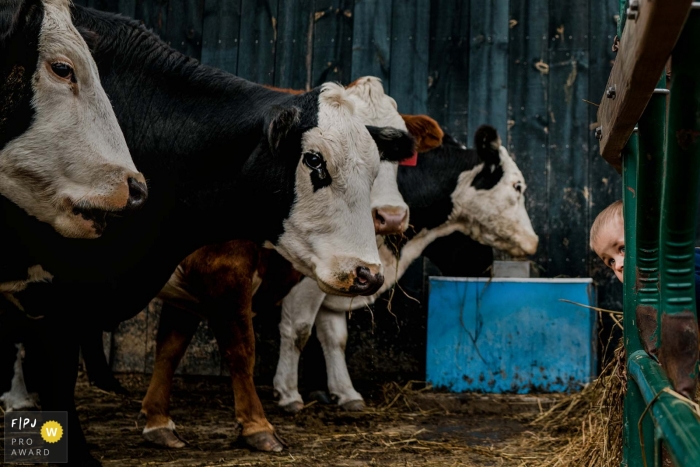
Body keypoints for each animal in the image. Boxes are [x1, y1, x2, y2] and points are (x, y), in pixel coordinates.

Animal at [0, 5, 416, 466]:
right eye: (313, 160)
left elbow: (171, 345)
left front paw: (159, 422)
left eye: (380, 163)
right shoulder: (216, 270)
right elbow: (240, 346)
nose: (368, 273)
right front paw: (258, 427)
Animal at [274, 124, 540, 414]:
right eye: (517, 186)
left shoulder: (345, 275)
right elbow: (298, 329)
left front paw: (346, 393)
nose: (534, 240)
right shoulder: (307, 276)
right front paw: (288, 394)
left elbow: (335, 336)